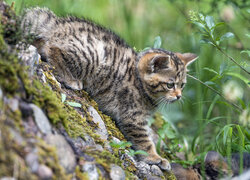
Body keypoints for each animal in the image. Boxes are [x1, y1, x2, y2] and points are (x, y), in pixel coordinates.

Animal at [21, 7, 197, 170]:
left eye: (182, 85)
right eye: (170, 85)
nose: (179, 96)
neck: (139, 82)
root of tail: (57, 24)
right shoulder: (133, 117)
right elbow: (144, 141)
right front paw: (155, 157)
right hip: (92, 54)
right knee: (53, 48)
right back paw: (71, 78)